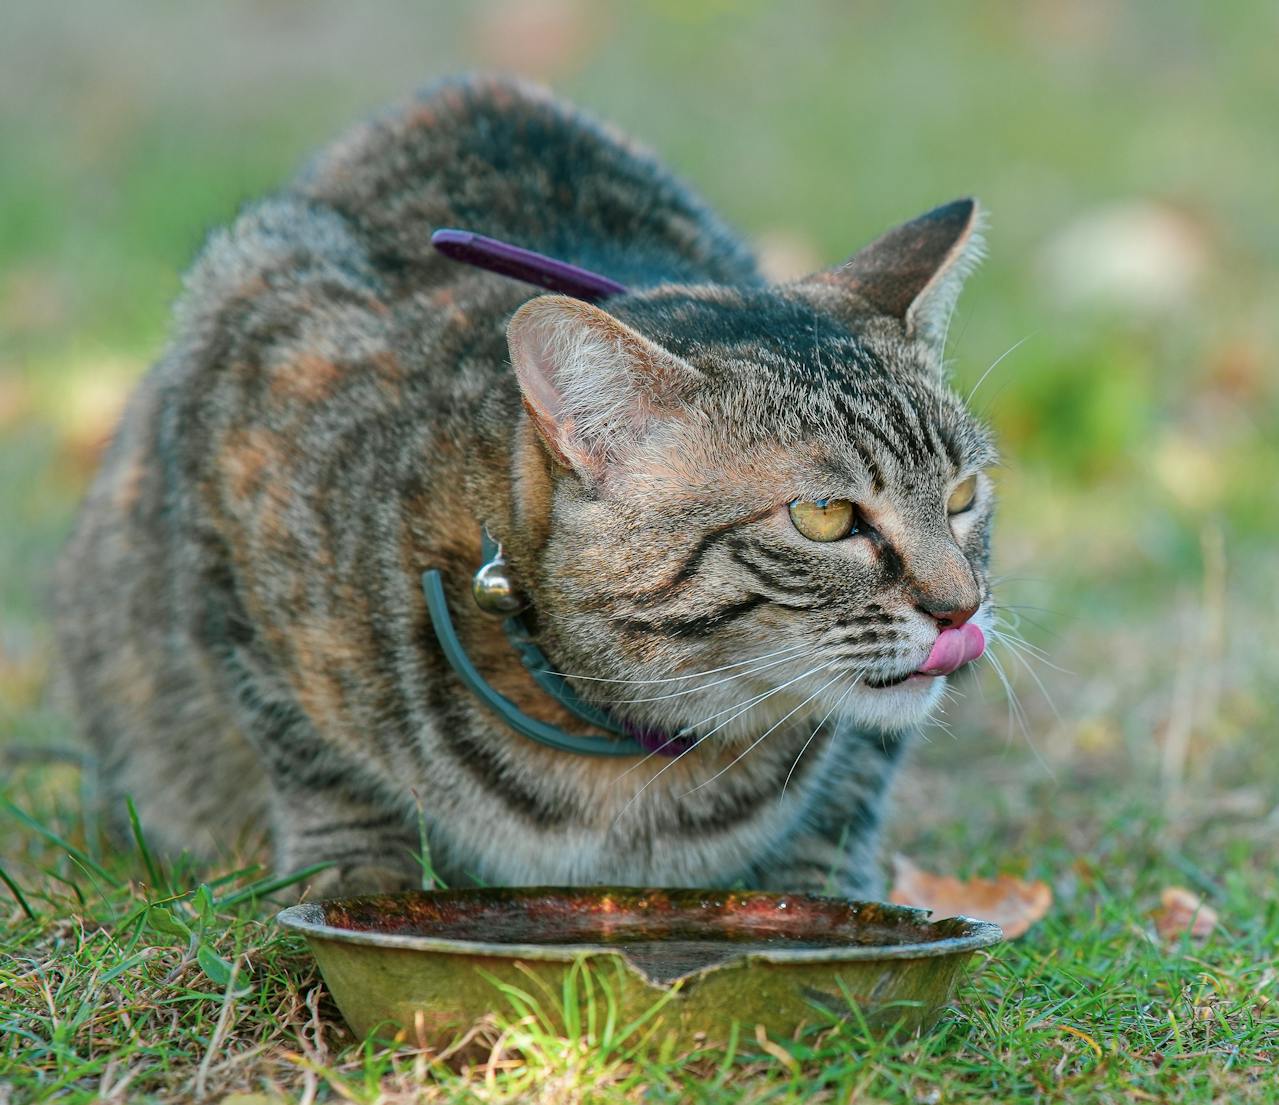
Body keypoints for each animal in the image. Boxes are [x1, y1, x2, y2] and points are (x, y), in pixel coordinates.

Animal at [54, 75, 992, 900]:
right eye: (824, 516)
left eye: (961, 497)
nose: (962, 608)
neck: (620, 744)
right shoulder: (237, 446)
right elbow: (313, 756)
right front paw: (359, 874)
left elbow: (849, 785)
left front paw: (819, 891)